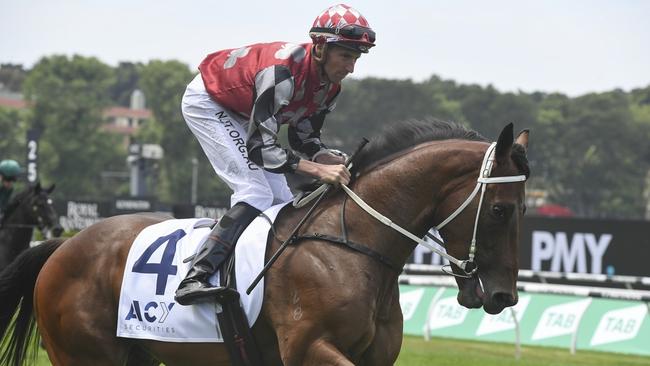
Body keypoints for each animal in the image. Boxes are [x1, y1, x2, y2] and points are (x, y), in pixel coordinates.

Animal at [1, 118, 528, 364]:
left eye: (525, 210)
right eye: (500, 209)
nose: (504, 295)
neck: (350, 245)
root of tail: (64, 246)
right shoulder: (310, 349)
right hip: (85, 353)